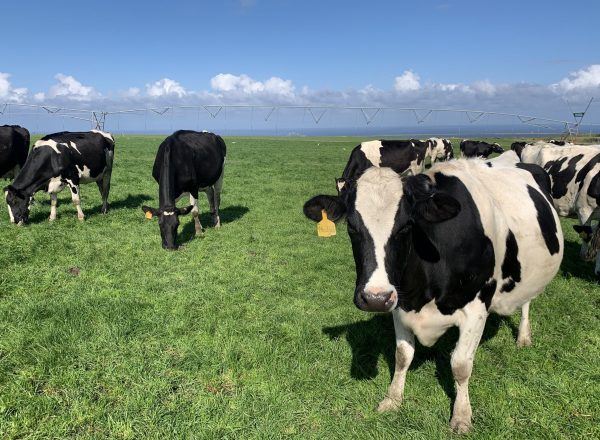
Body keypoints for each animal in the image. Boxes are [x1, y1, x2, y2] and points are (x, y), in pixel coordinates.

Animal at [304, 159, 564, 434]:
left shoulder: (476, 309)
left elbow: (460, 365)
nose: (375, 298)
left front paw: (461, 415)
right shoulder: (400, 304)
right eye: (352, 227)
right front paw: (393, 398)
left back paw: (523, 336)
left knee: (526, 303)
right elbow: (402, 355)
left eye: (406, 226)